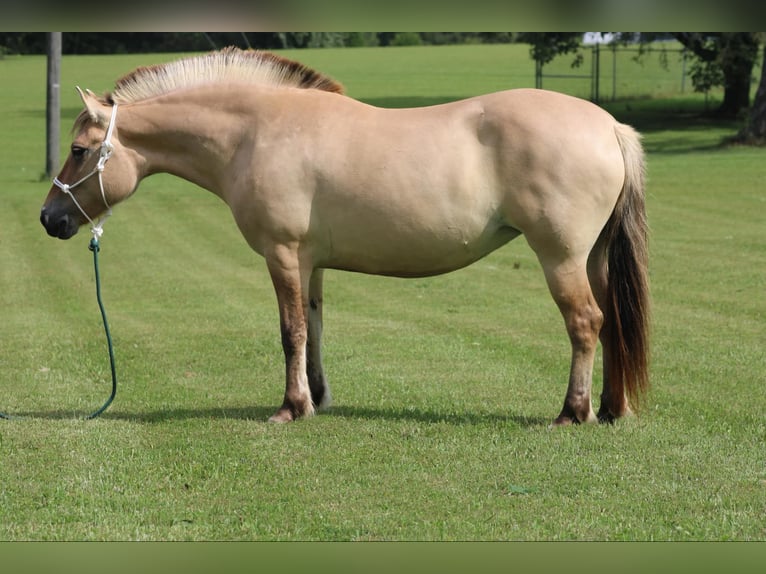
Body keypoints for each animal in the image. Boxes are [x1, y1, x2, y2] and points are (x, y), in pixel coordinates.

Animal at [42, 48, 652, 428]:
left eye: (78, 150)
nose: (50, 218)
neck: (255, 132)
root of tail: (608, 126)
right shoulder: (310, 263)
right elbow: (312, 328)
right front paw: (317, 397)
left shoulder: (283, 255)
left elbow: (289, 330)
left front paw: (290, 407)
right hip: (593, 258)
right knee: (613, 322)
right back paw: (611, 408)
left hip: (561, 257)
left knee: (586, 322)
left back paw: (572, 412)